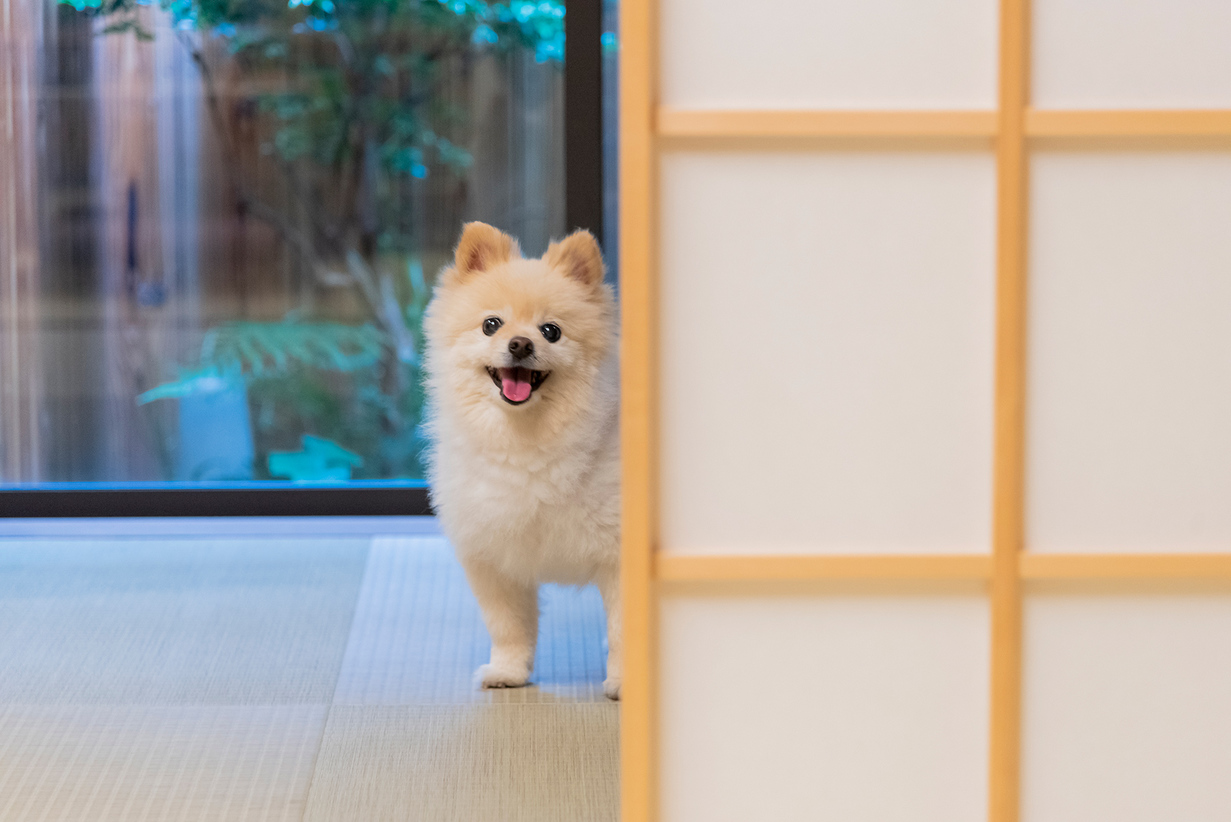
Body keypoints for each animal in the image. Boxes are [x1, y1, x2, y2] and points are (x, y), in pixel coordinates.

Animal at [423, 220, 620, 698]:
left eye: (551, 331)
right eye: (491, 324)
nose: (519, 344)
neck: (526, 441)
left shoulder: (619, 554)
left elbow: (626, 629)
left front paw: (624, 681)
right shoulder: (495, 559)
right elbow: (509, 626)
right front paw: (509, 672)